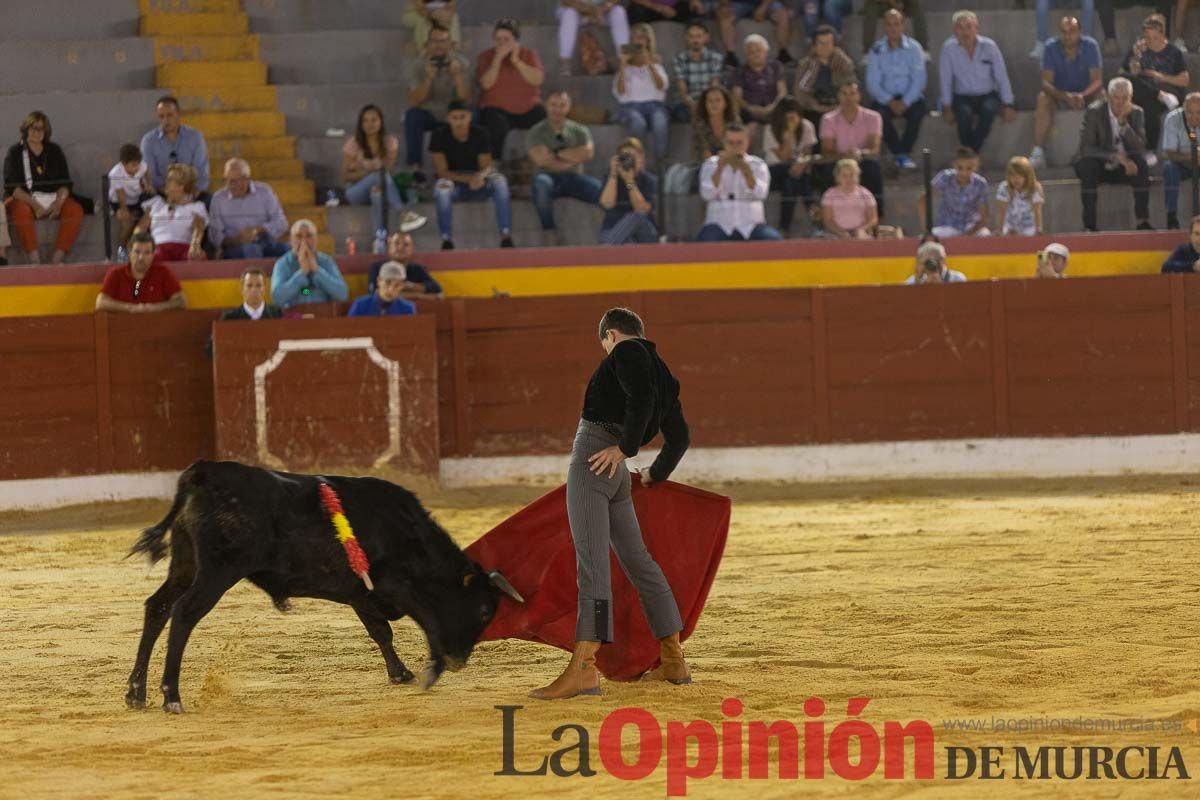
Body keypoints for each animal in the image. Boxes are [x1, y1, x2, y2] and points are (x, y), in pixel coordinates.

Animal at [124, 460, 523, 714]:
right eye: (484, 610)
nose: (459, 661)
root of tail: (203, 471)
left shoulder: (361, 593)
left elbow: (381, 632)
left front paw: (400, 673)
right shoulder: (396, 587)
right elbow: (422, 621)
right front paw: (428, 670)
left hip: (185, 563)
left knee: (157, 607)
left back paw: (136, 693)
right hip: (217, 572)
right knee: (183, 613)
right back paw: (171, 696)